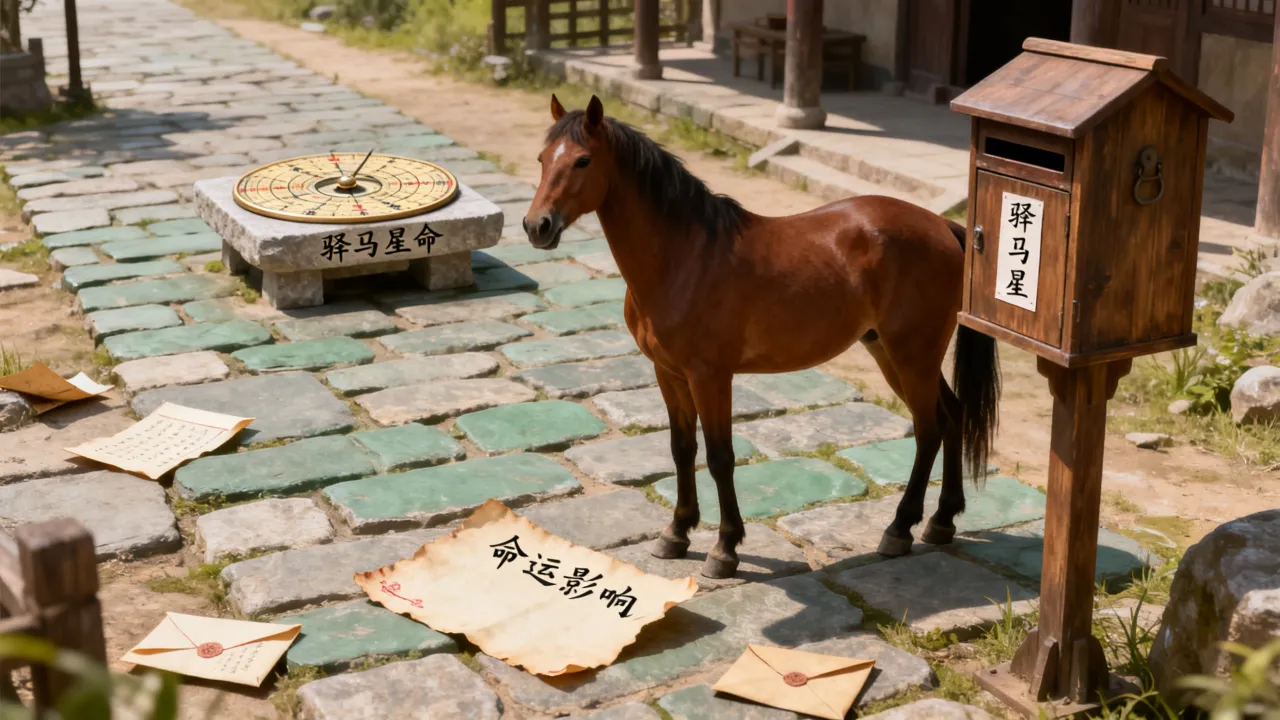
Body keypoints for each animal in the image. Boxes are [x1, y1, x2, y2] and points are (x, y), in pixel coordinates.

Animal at [523, 94, 1001, 579]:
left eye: (582, 160)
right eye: (542, 159)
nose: (536, 226)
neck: (683, 259)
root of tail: (944, 227)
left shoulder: (711, 377)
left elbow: (720, 458)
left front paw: (724, 549)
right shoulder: (668, 373)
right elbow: (682, 449)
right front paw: (676, 533)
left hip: (912, 355)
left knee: (929, 429)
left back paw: (900, 529)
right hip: (891, 353)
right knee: (953, 416)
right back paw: (942, 521)